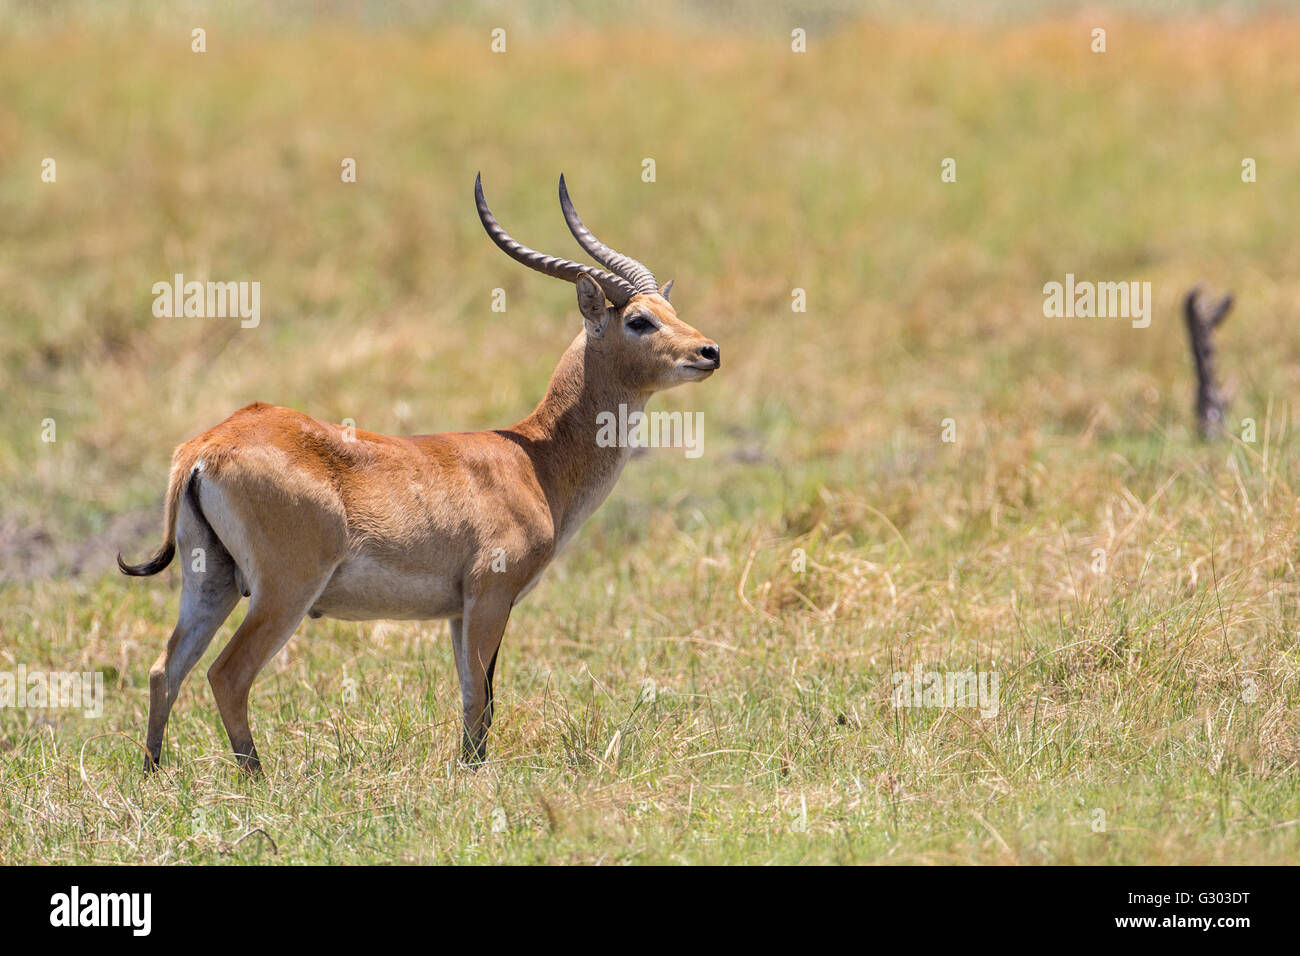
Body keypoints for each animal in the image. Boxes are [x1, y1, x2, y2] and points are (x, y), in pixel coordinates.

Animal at [120, 174, 722, 770]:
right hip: (283, 591)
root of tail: (208, 445)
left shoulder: (460, 611)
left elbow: (474, 697)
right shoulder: (489, 596)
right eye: (639, 320)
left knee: (164, 670)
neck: (535, 463)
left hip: (211, 582)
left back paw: (155, 775)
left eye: (669, 310)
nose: (709, 351)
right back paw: (260, 781)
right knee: (227, 674)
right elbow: (482, 699)